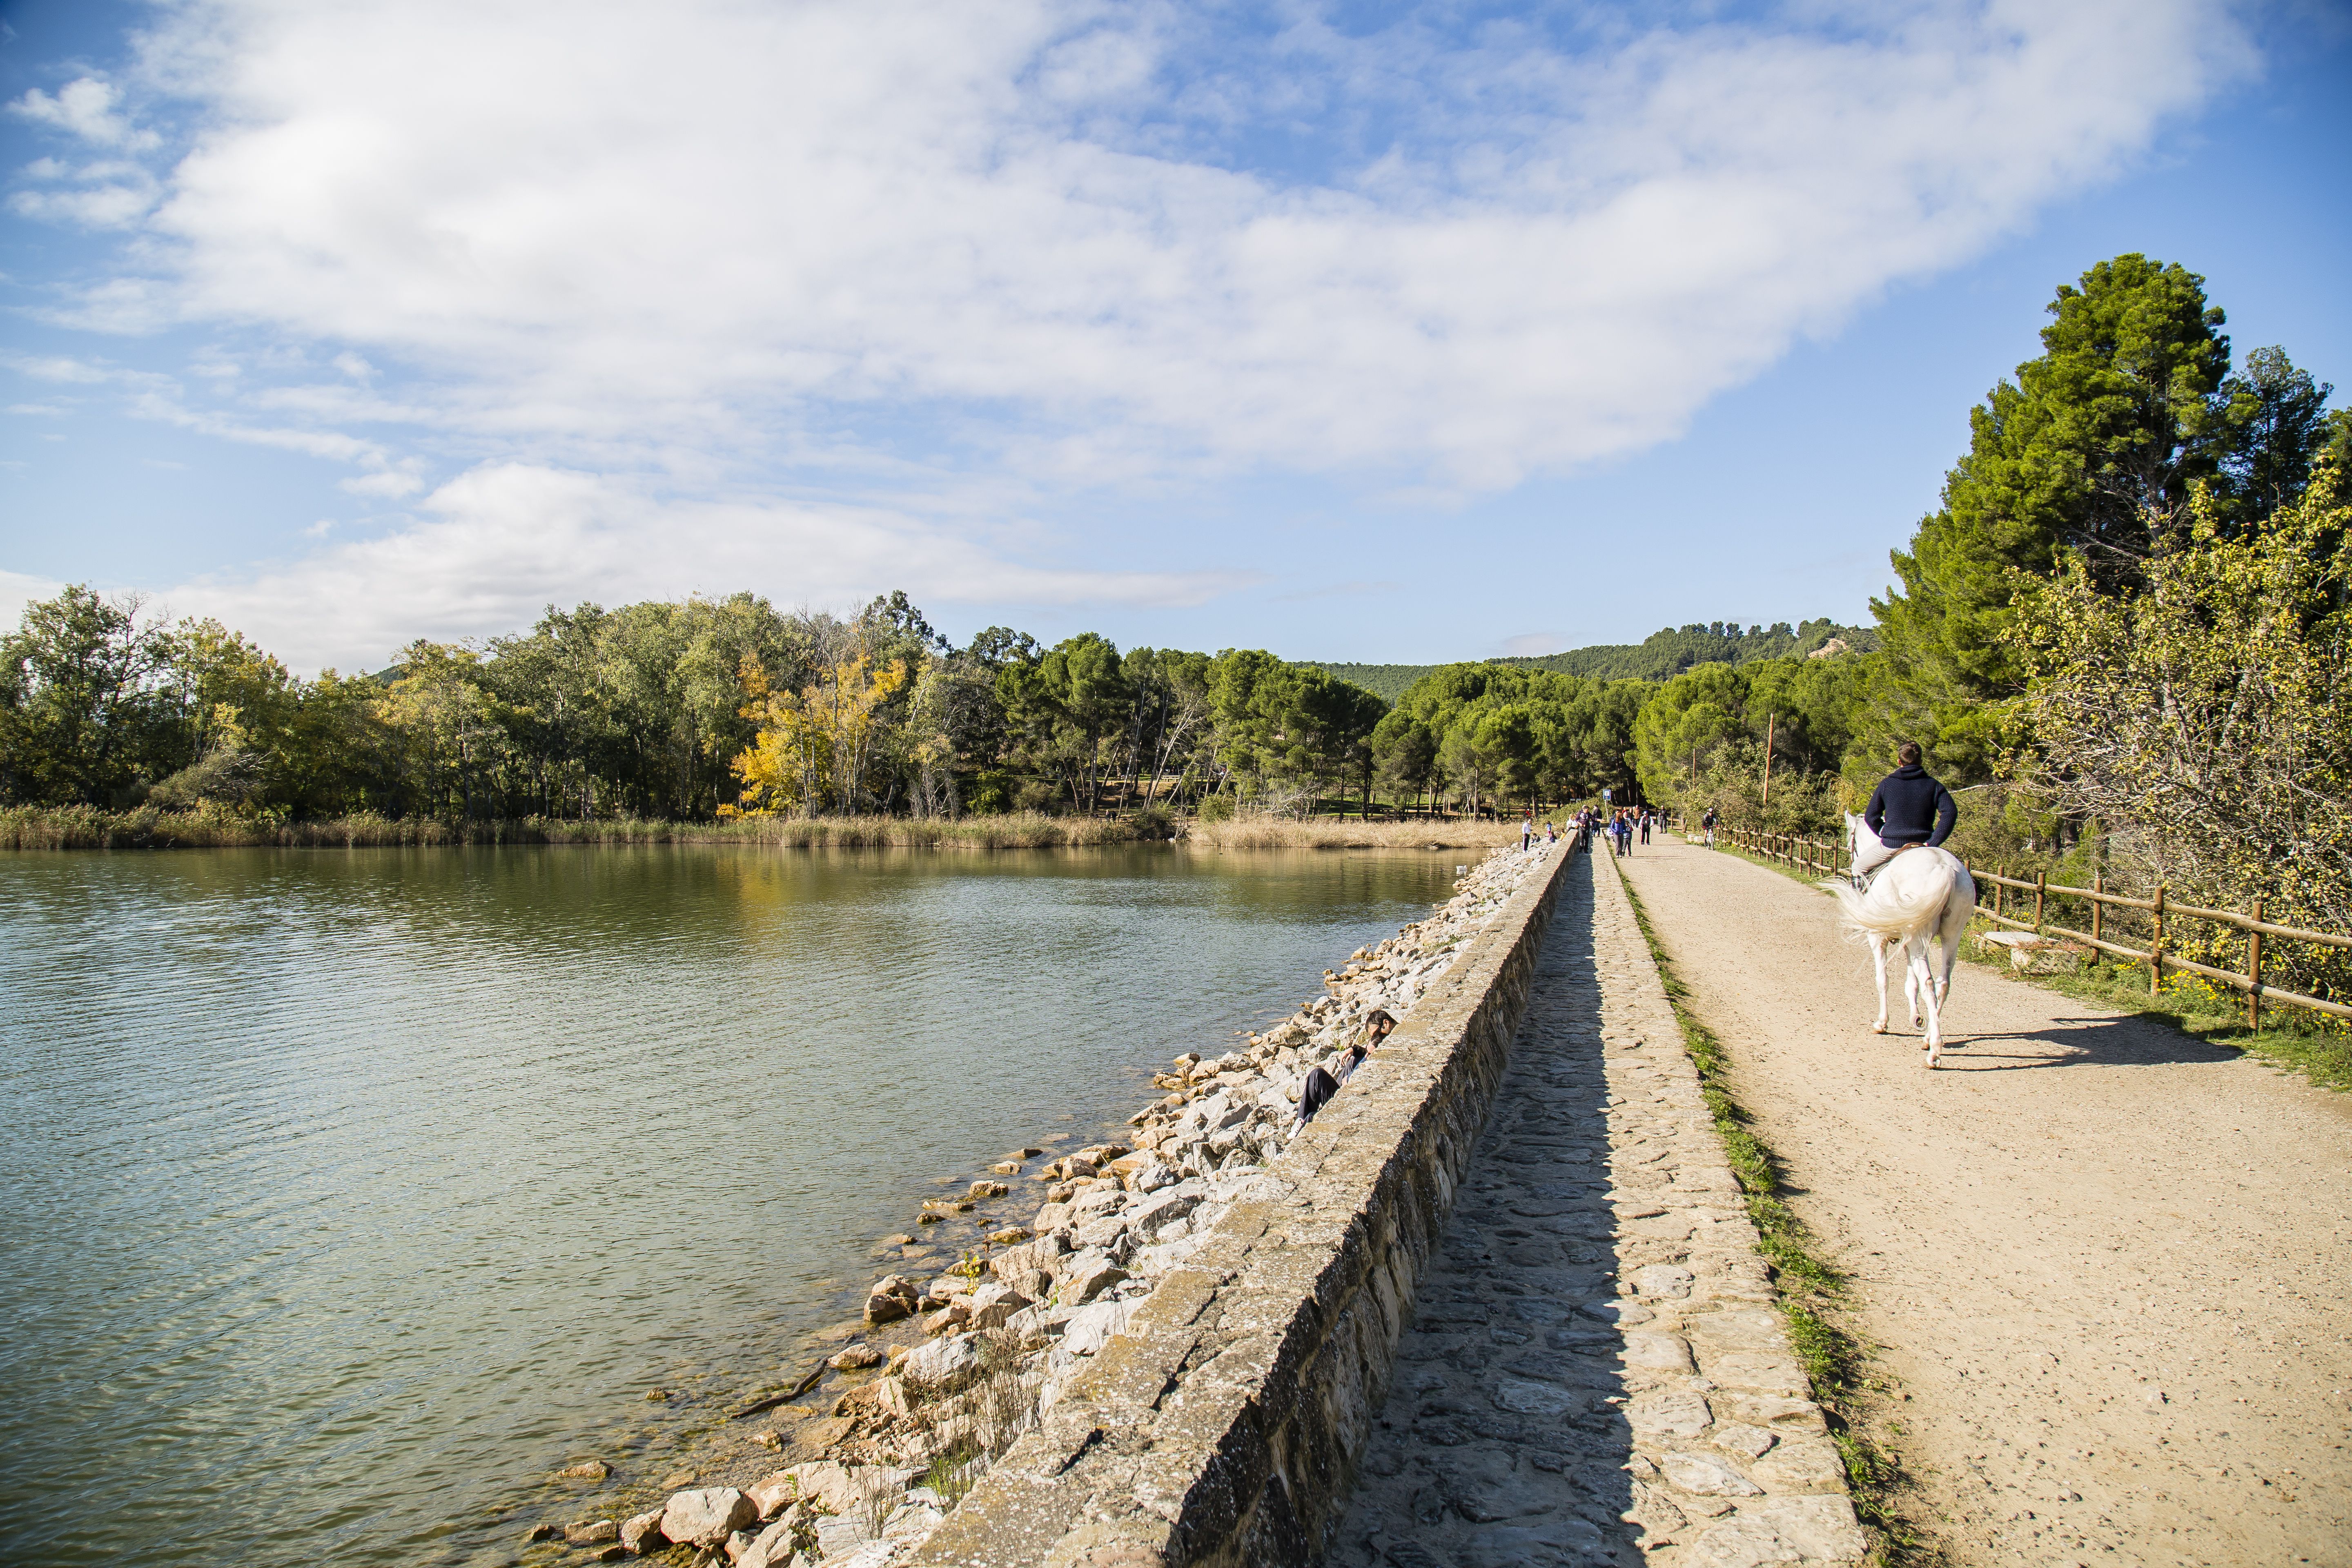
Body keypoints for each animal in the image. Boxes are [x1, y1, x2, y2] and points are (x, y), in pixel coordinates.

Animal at [1825, 818, 1976, 1062]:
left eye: (1851, 842)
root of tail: (1945, 868)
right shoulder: (1907, 942)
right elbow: (1911, 983)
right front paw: (1916, 1018)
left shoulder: (1878, 938)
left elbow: (1883, 979)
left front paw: (1882, 1023)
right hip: (1951, 936)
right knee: (1943, 984)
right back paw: (1929, 1038)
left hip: (1918, 936)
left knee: (1929, 983)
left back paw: (1934, 1051)